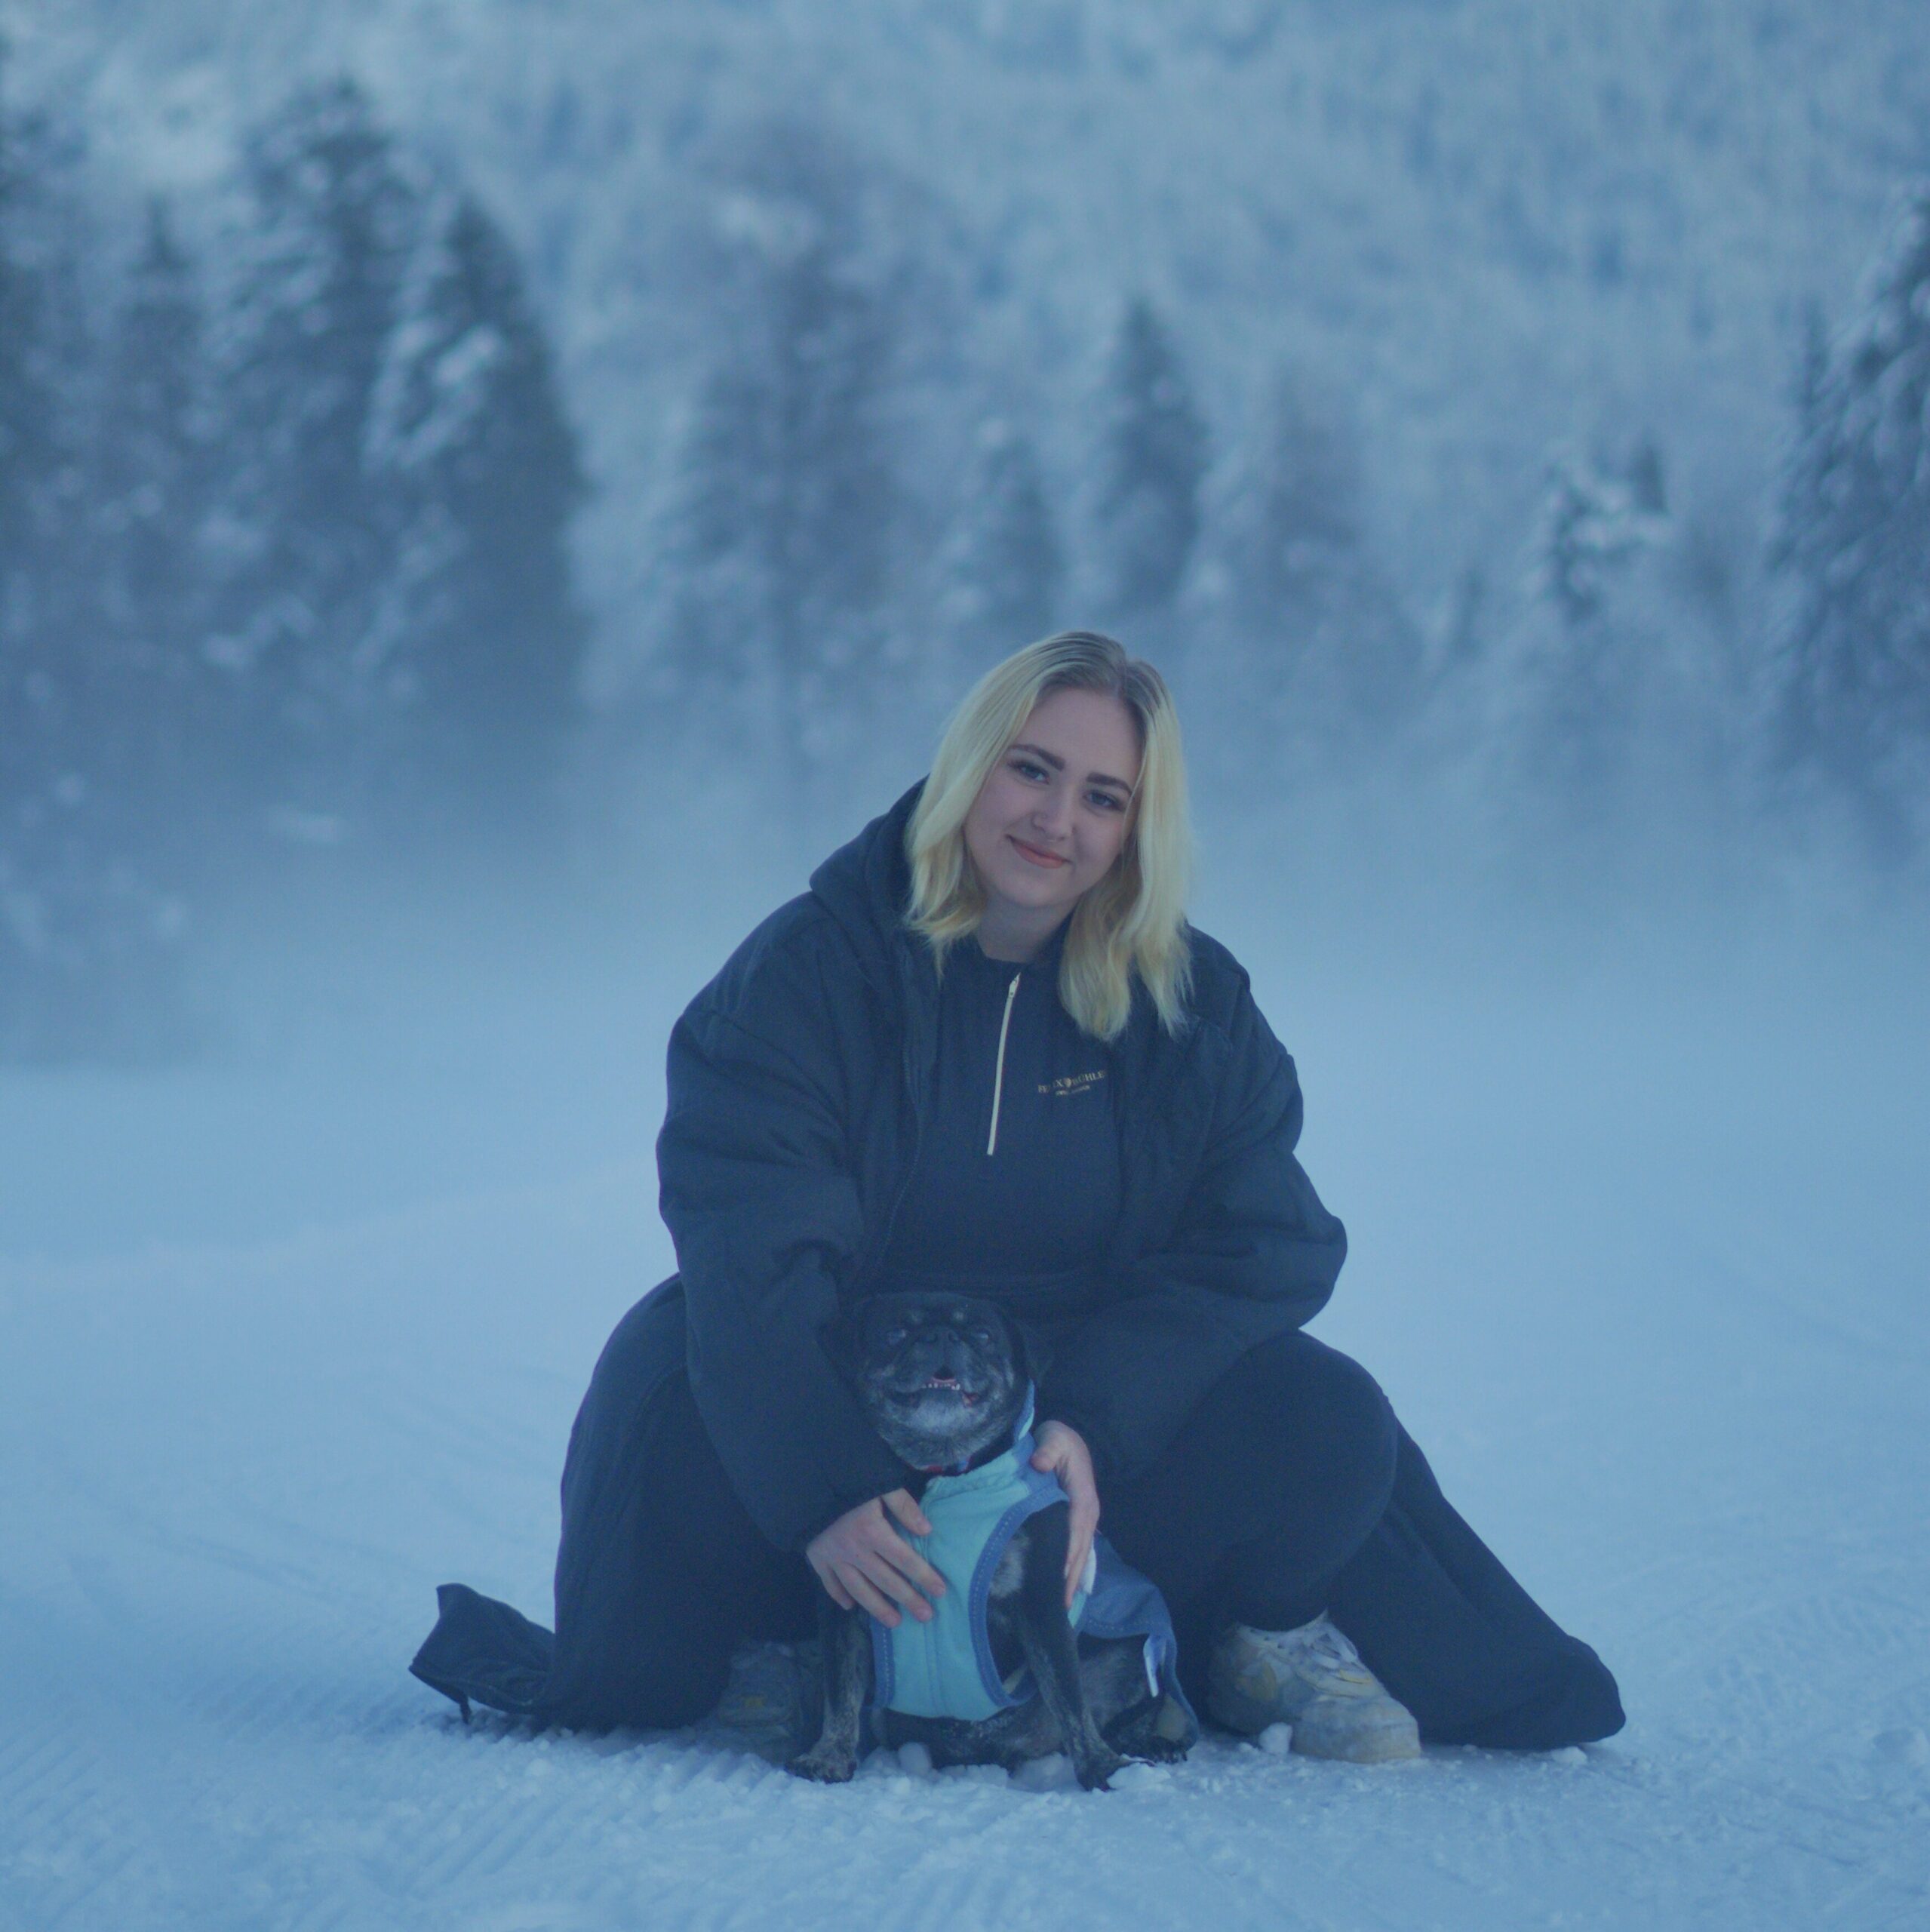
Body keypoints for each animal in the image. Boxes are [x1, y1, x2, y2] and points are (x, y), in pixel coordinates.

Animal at [786, 1291, 1193, 1791]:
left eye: (982, 1335)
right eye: (895, 1333)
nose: (941, 1335)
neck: (938, 1473)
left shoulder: (1041, 1603)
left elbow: (1070, 1695)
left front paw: (1101, 1765)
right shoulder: (845, 1596)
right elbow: (841, 1689)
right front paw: (829, 1753)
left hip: (1132, 1651)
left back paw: (1149, 1744)